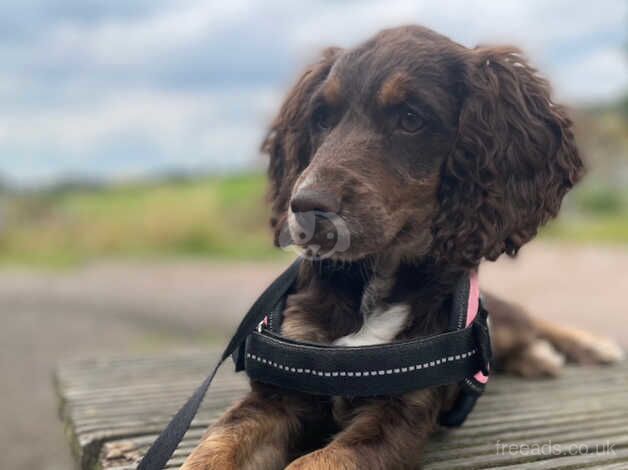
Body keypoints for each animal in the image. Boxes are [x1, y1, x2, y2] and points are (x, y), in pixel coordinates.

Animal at [183, 25, 624, 470]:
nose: (304, 208)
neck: (375, 276)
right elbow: (215, 446)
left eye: (411, 118)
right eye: (321, 118)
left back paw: (584, 346)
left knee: (525, 319)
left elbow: (315, 462)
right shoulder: (279, 392)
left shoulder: (400, 415)